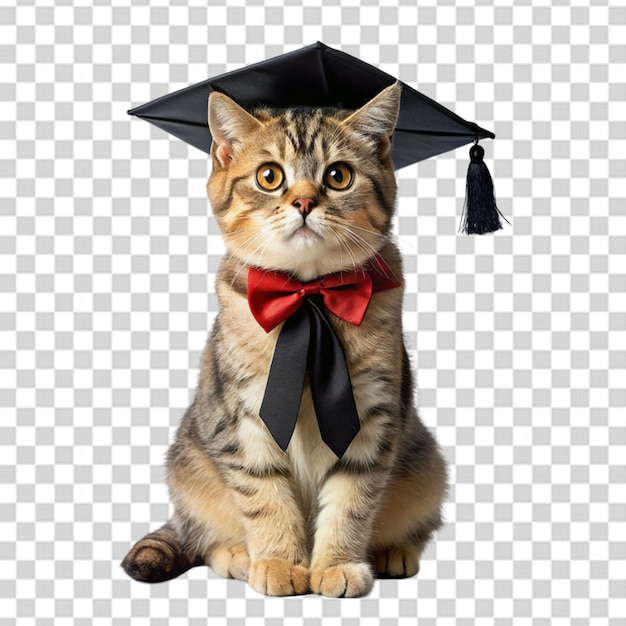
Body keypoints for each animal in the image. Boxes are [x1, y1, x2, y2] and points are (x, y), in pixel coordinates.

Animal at [120, 81, 444, 596]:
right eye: (270, 176)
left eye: (338, 176)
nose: (305, 202)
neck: (308, 298)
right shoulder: (240, 420)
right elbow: (265, 496)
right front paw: (278, 561)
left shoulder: (373, 418)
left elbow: (352, 501)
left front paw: (336, 564)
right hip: (189, 467)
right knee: (204, 534)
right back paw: (237, 555)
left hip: (428, 467)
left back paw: (393, 551)